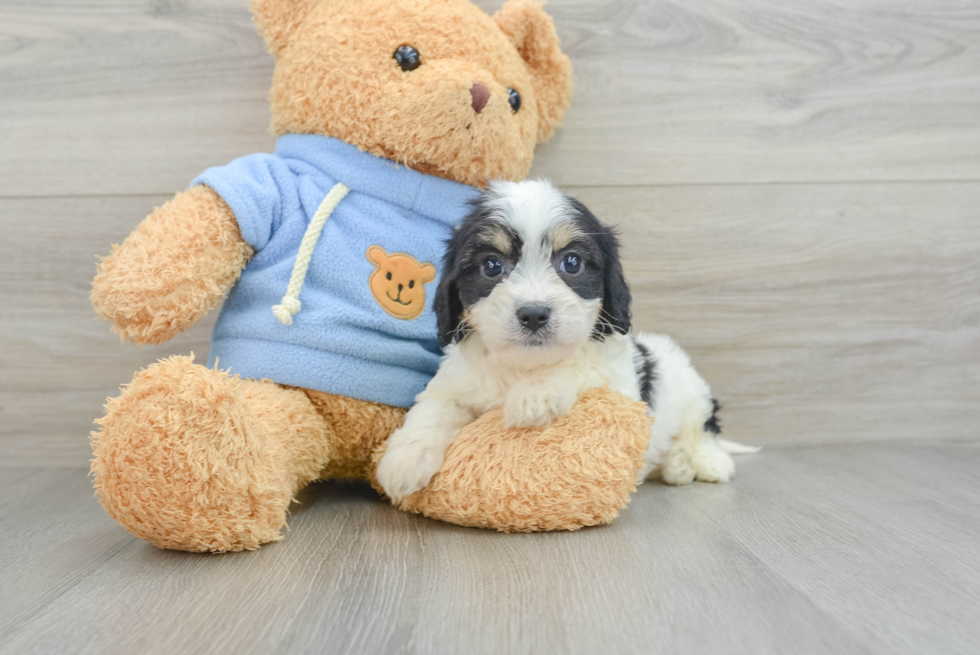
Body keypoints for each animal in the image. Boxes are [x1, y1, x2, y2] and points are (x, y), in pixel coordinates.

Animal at [376, 181, 756, 502]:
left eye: (571, 263)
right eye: (491, 265)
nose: (533, 314)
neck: (522, 366)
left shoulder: (618, 384)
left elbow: (579, 366)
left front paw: (535, 396)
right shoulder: (454, 384)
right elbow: (433, 409)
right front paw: (404, 460)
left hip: (690, 391)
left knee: (701, 431)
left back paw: (698, 462)